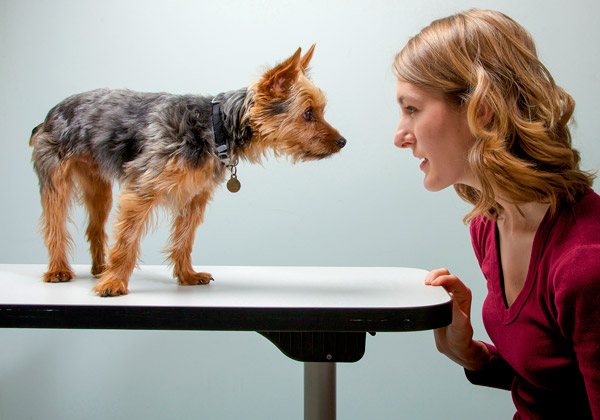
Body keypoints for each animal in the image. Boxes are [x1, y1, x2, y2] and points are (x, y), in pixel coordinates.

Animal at [29, 45, 346, 296]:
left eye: (319, 112)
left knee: (95, 226)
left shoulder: (195, 195)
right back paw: (59, 269)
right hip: (56, 178)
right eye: (308, 114)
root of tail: (50, 113)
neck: (216, 127)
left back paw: (99, 267)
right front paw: (115, 283)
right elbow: (127, 240)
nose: (342, 142)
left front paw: (186, 275)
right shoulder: (141, 191)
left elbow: (184, 237)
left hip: (98, 187)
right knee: (55, 224)